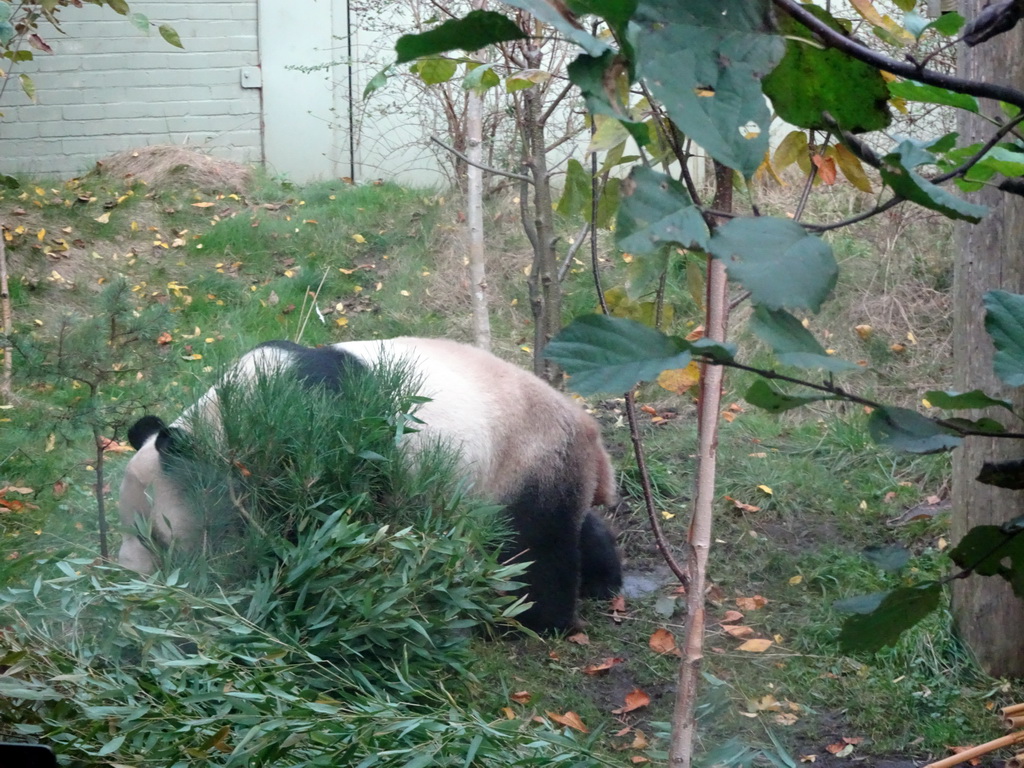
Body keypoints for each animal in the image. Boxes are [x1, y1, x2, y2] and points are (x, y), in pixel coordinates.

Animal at [116, 339, 618, 634]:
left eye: (157, 539)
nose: (129, 576)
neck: (232, 424)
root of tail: (589, 430)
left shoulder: (326, 439)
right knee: (573, 529)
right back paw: (604, 581)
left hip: (525, 455)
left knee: (533, 547)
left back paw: (543, 620)